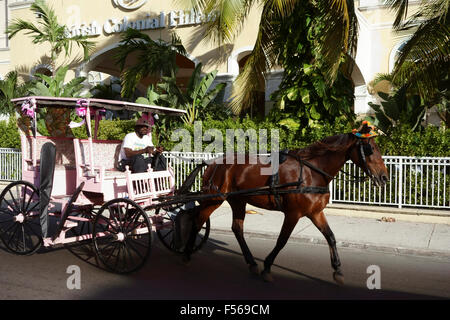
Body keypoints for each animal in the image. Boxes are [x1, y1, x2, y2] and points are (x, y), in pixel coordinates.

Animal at [175, 122, 386, 284]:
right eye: (370, 149)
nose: (384, 177)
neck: (312, 172)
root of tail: (212, 164)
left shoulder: (315, 212)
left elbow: (331, 237)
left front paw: (338, 270)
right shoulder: (293, 213)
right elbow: (282, 240)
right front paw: (267, 267)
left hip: (237, 200)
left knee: (236, 228)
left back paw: (251, 263)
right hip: (214, 199)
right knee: (197, 221)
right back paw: (186, 254)